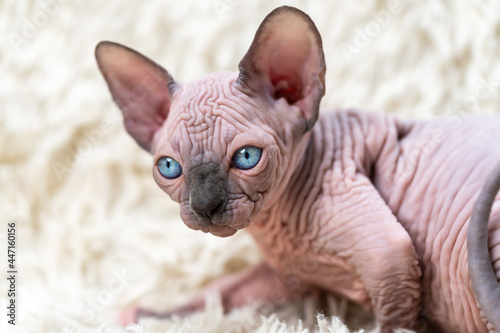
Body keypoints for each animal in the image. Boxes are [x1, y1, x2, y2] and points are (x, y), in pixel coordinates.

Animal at [94, 5, 500, 332]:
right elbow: (216, 295)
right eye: (169, 167)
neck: (279, 227)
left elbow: (395, 322)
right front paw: (148, 316)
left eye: (246, 157)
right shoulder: (288, 276)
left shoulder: (389, 255)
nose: (205, 206)